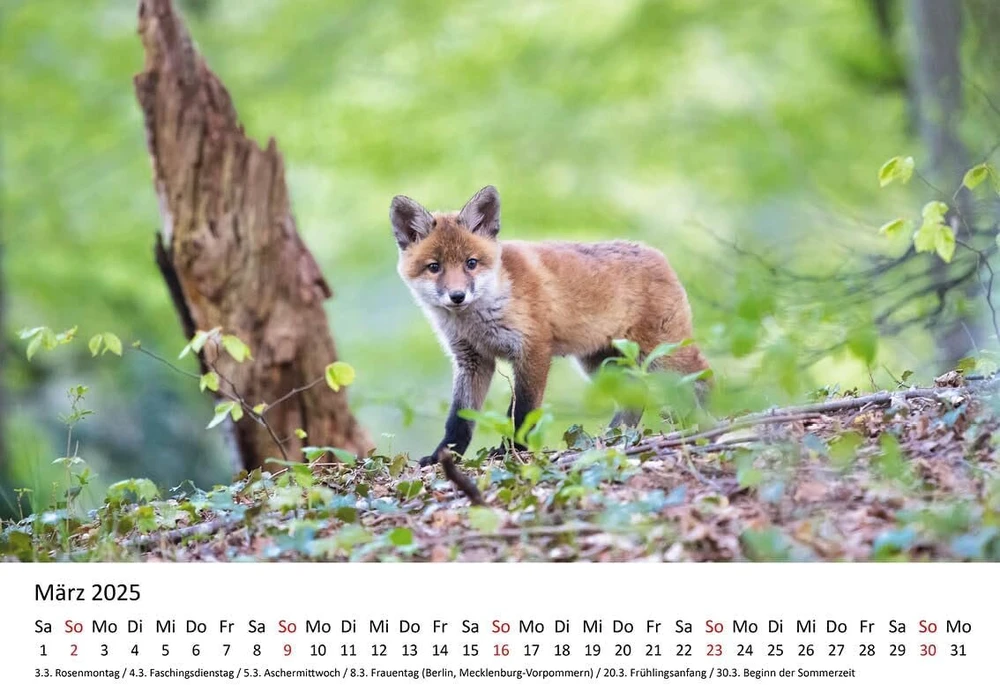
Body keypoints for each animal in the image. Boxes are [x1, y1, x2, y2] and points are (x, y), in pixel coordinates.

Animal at [390, 185, 710, 503]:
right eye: (434, 267)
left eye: (471, 263)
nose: (457, 296)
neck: (479, 318)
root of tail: (655, 253)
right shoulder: (472, 360)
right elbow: (459, 419)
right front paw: (442, 457)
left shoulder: (533, 349)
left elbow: (522, 412)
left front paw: (512, 453)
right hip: (602, 365)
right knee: (635, 399)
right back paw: (611, 439)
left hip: (662, 354)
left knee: (703, 376)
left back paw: (705, 421)